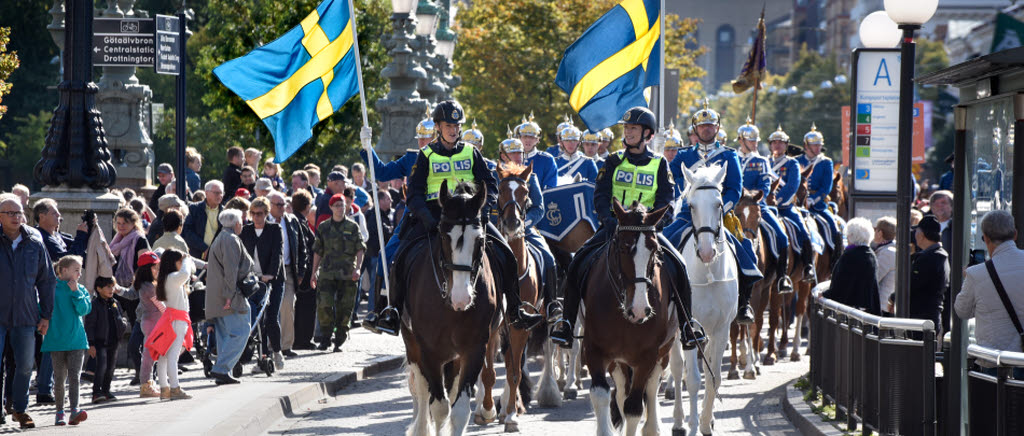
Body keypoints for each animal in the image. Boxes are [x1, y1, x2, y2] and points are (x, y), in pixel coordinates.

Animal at [399, 180, 499, 436]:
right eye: (444, 237)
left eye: (480, 240)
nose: (461, 298)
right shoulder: (429, 352)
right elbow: (439, 407)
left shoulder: (474, 349)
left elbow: (459, 409)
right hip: (412, 344)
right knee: (422, 389)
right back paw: (421, 428)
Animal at [581, 199, 675, 433]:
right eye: (623, 247)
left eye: (654, 249)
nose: (640, 310)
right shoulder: (594, 350)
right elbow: (602, 395)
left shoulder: (647, 357)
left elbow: (634, 408)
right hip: (618, 361)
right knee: (622, 390)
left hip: (663, 352)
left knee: (651, 387)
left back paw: (653, 428)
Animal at [667, 164, 741, 436]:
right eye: (691, 206)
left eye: (718, 204)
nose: (707, 252)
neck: (708, 272)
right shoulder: (689, 328)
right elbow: (692, 379)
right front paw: (692, 425)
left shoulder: (721, 330)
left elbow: (714, 377)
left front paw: (706, 422)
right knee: (677, 368)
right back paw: (679, 421)